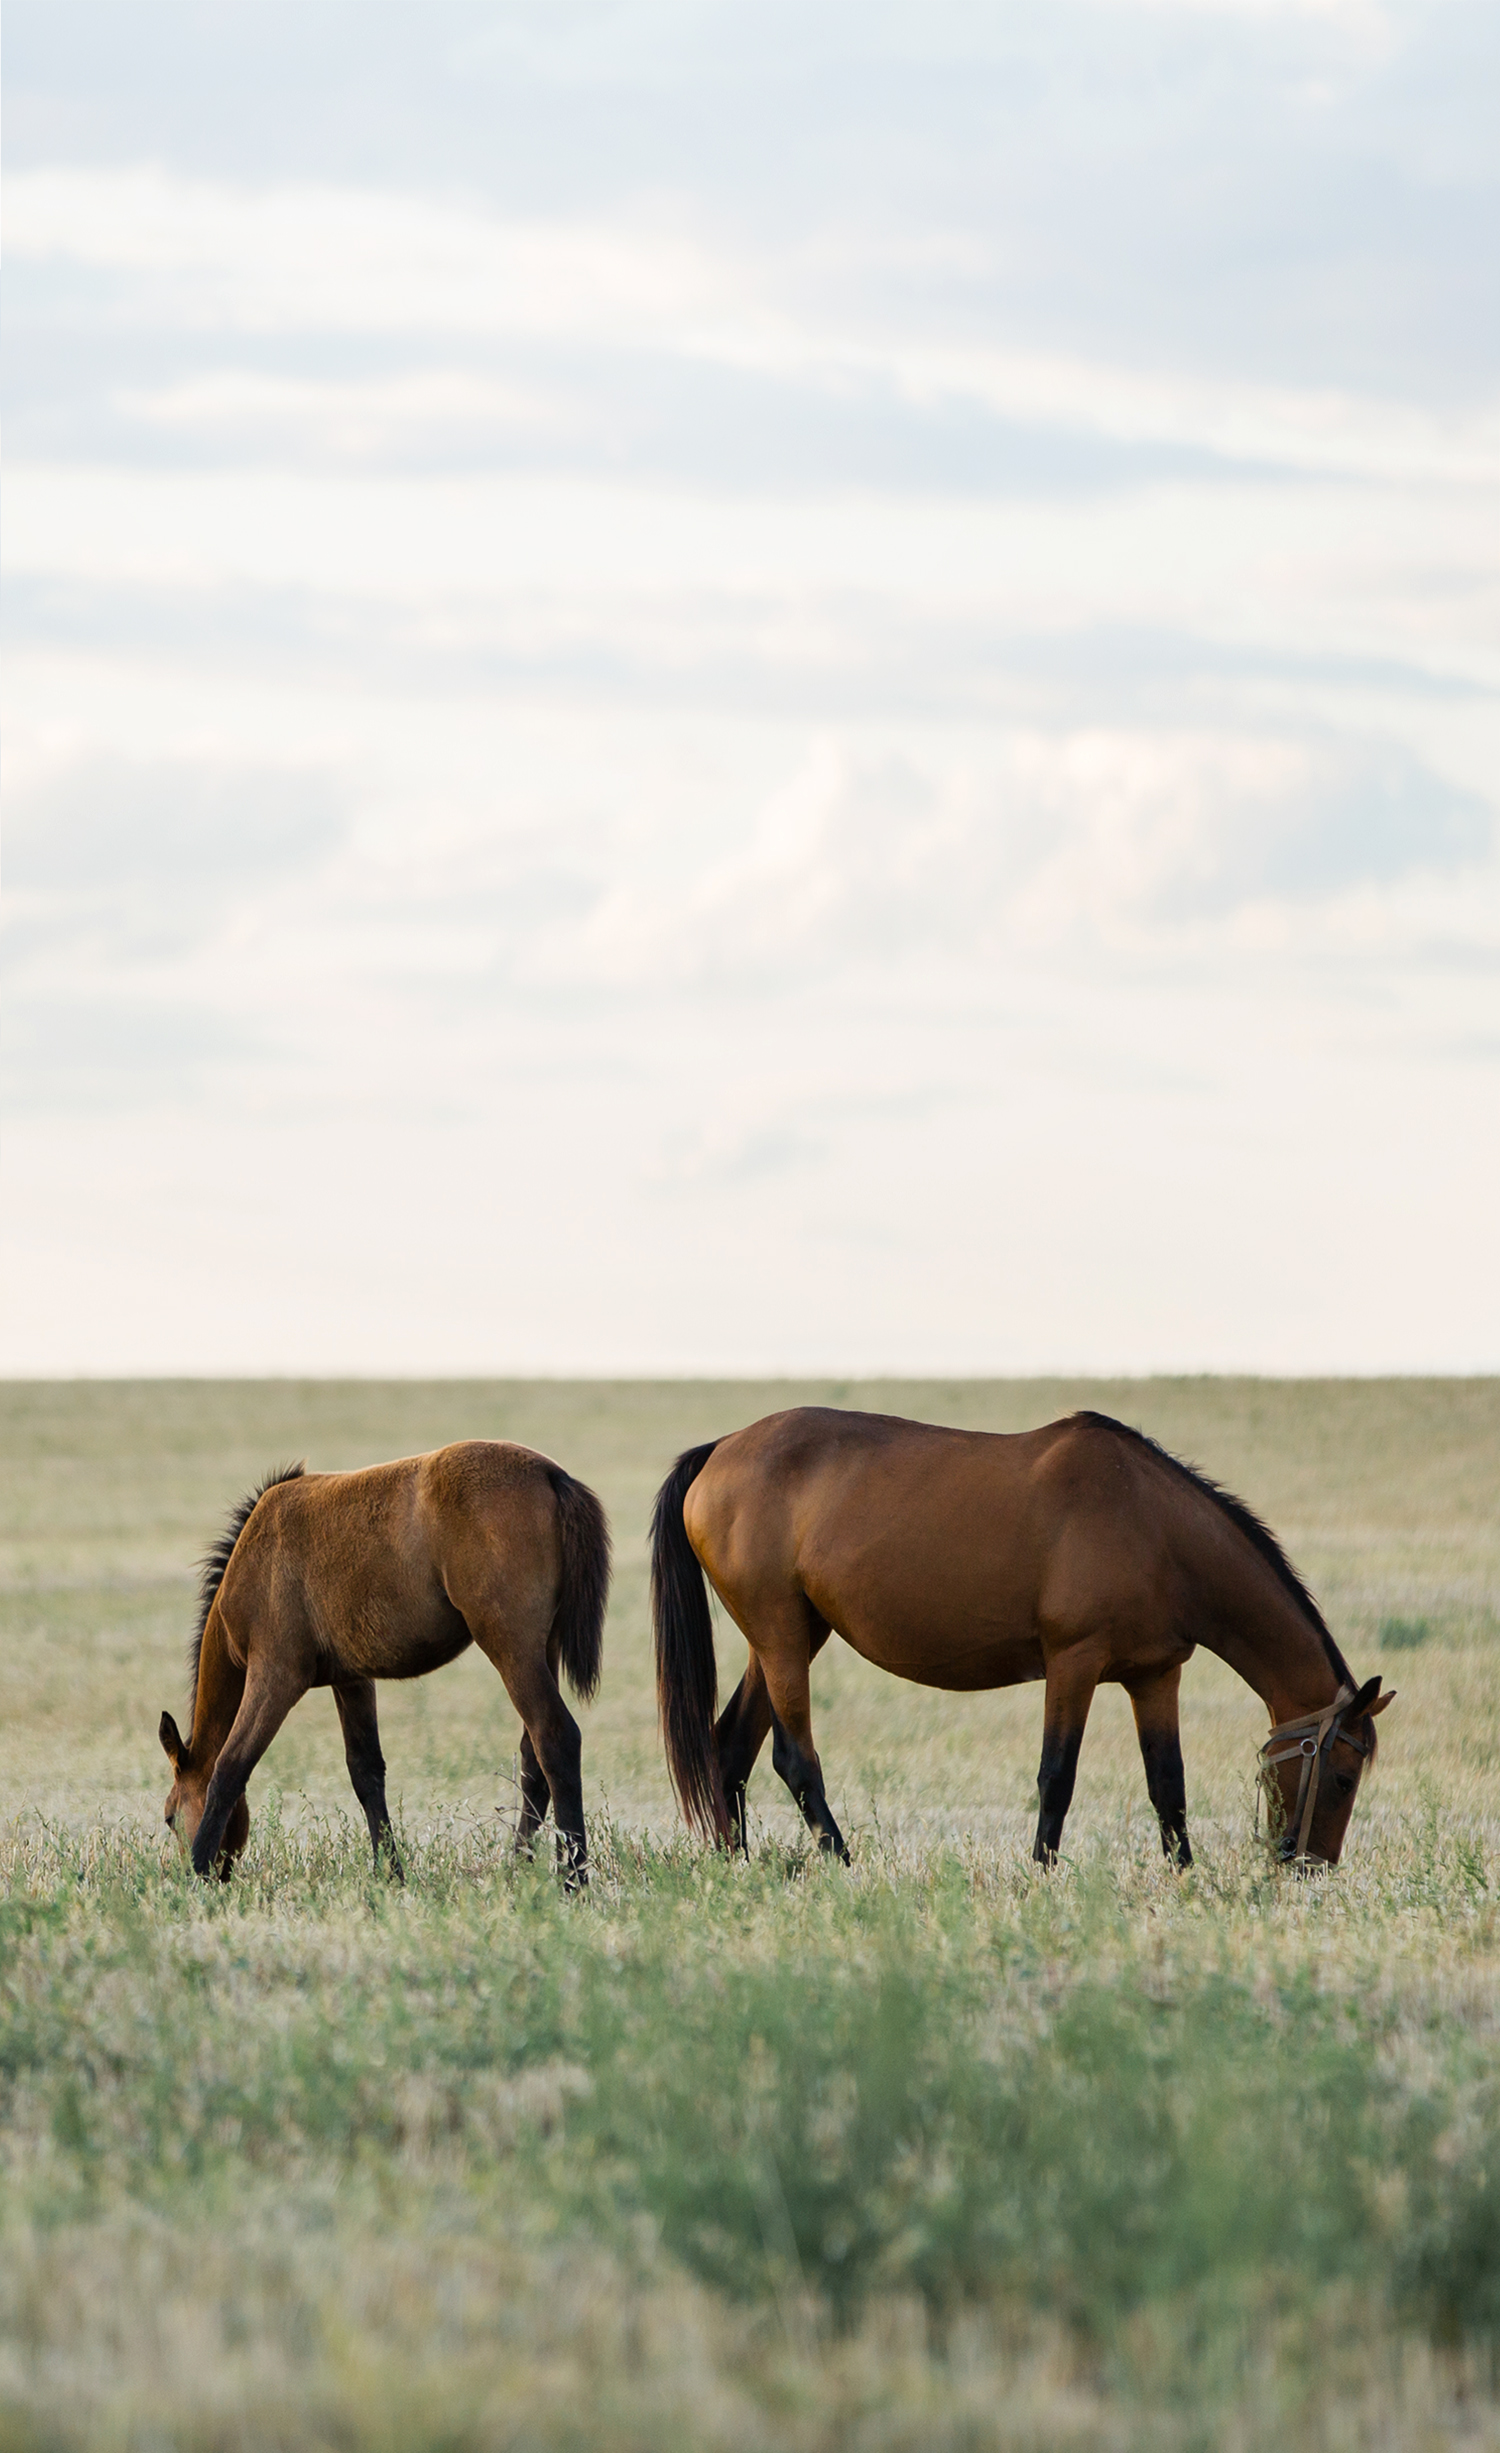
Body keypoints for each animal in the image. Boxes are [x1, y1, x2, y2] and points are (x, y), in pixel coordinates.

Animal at [159, 1441, 611, 1886]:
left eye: (168, 1818)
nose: (185, 1869)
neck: (255, 1560)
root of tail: (551, 1475)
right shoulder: (352, 1680)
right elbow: (366, 1773)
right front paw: (391, 1874)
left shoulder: (275, 1675)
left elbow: (229, 1768)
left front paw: (196, 1874)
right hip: (541, 1650)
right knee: (534, 1761)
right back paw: (519, 1868)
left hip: (511, 1649)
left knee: (555, 1739)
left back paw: (574, 1879)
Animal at [650, 1407, 1393, 1868]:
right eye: (1343, 1775)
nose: (1311, 1868)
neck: (1154, 1527)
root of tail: (719, 1451)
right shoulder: (1073, 1663)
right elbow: (1056, 1776)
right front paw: (1040, 1876)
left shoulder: (1155, 1674)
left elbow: (1168, 1784)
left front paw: (1185, 1877)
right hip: (781, 1638)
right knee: (794, 1761)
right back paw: (844, 1865)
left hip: (789, 1636)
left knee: (730, 1749)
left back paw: (739, 1867)